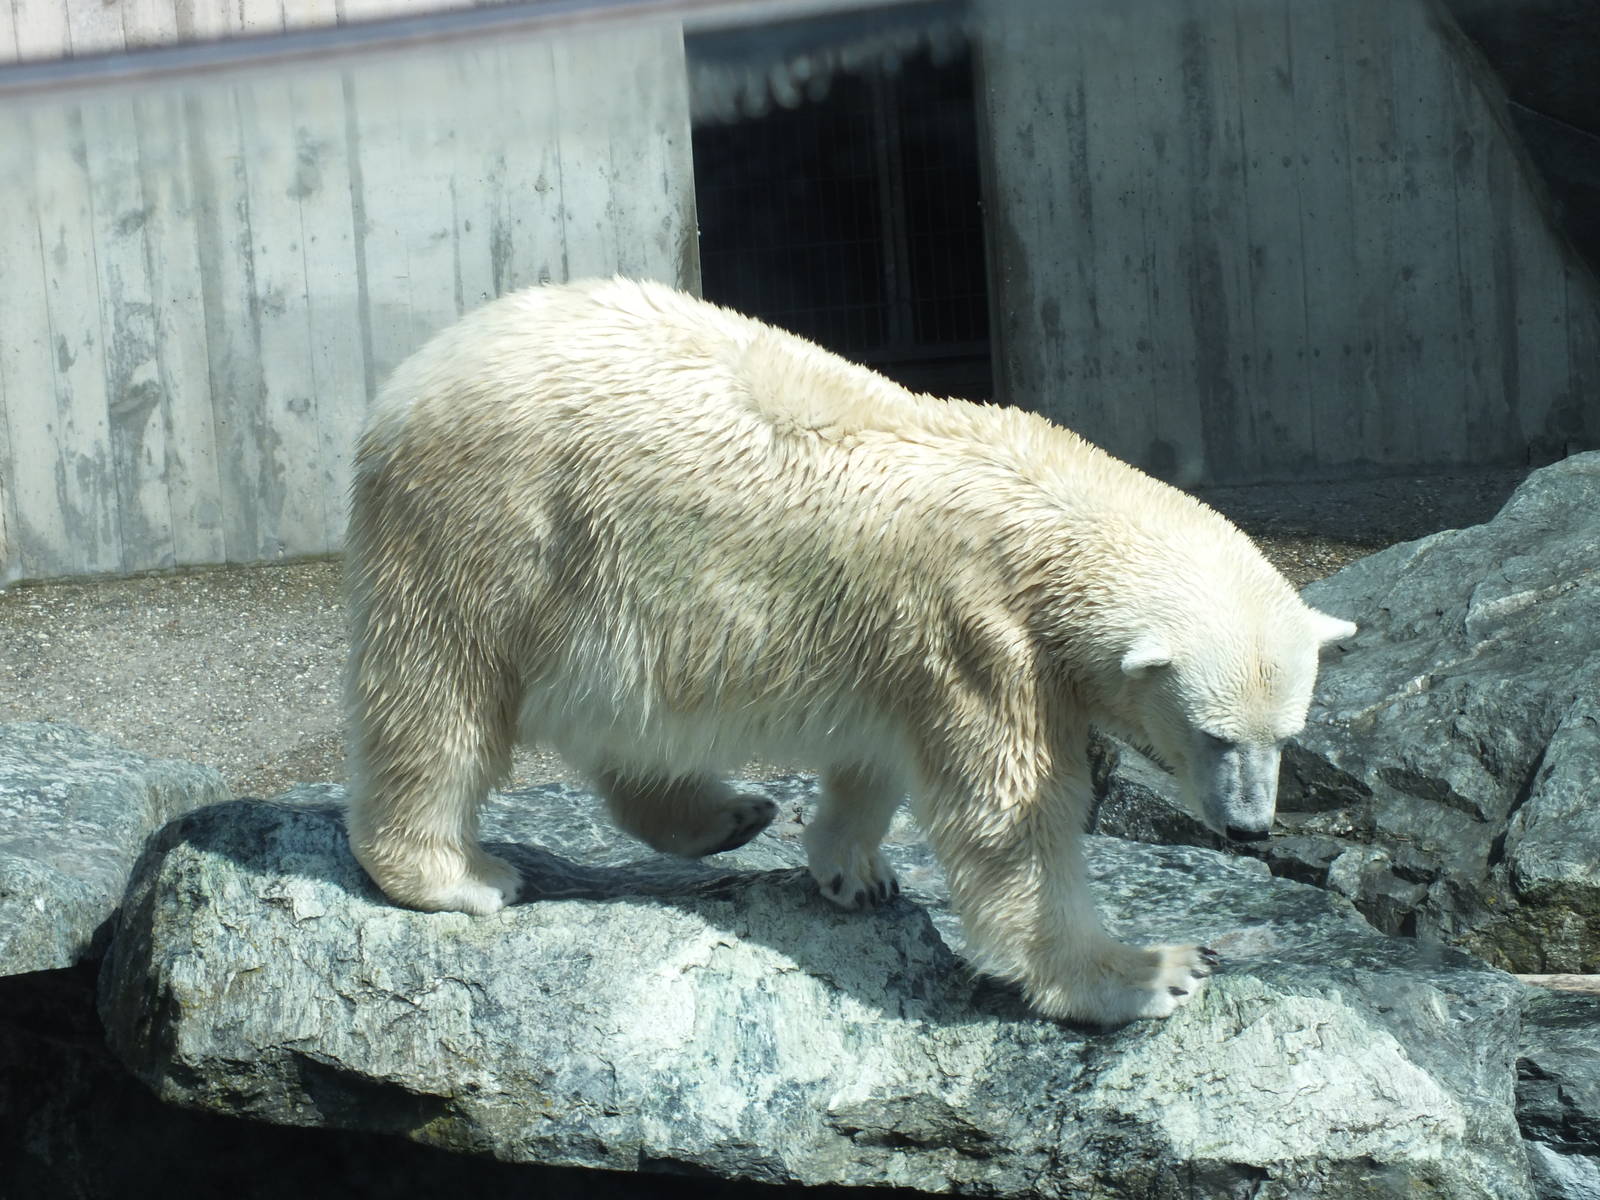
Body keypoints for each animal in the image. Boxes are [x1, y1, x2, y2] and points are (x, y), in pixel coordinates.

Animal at [343, 276, 1356, 1025]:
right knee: (440, 692)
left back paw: (725, 814)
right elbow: (1012, 819)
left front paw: (852, 868)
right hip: (497, 519)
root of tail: (408, 379)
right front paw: (1148, 975)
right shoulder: (987, 637)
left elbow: (879, 754)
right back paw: (455, 876)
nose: (1250, 828)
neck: (1040, 509)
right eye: (1212, 735)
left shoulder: (911, 644)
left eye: (1288, 734)